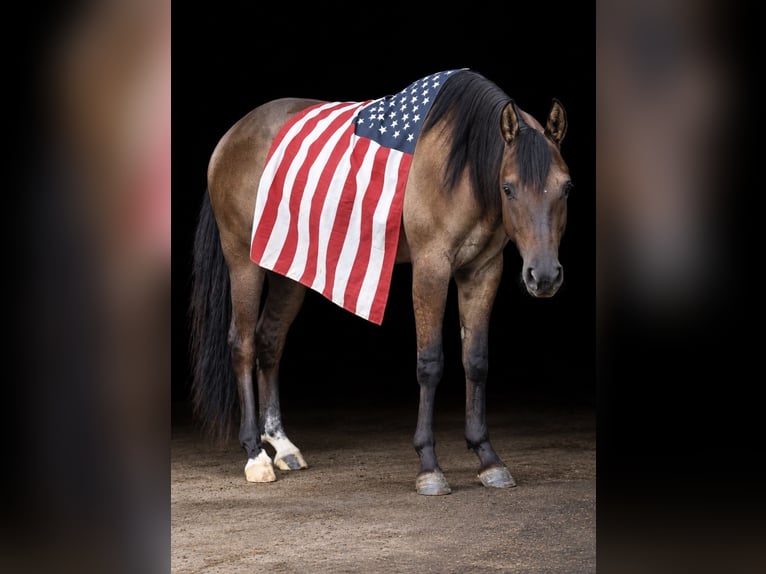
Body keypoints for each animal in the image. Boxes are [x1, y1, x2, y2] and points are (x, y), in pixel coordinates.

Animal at [189, 69, 571, 495]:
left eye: (566, 187)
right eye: (508, 187)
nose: (544, 276)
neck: (463, 165)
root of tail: (232, 136)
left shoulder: (483, 270)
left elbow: (476, 361)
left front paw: (488, 458)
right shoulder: (431, 266)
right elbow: (430, 362)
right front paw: (429, 466)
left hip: (288, 269)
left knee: (269, 340)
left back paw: (283, 446)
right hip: (243, 261)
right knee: (242, 344)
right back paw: (255, 454)